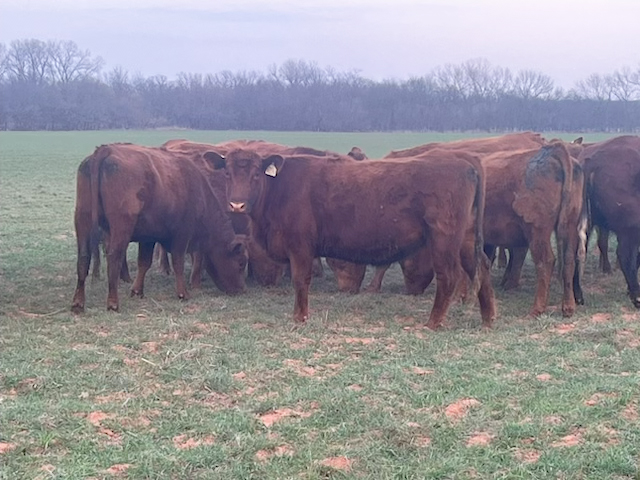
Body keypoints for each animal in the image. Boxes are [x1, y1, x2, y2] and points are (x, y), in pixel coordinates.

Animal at [71, 143, 247, 313]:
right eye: (240, 263)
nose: (241, 290)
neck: (198, 192)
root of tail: (106, 150)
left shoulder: (148, 237)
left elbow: (144, 263)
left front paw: (137, 291)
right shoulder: (182, 234)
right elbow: (178, 262)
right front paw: (183, 293)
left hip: (82, 219)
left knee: (83, 257)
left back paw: (78, 303)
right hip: (121, 227)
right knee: (114, 257)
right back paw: (113, 303)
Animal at [209, 148, 496, 329]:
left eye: (256, 174)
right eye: (227, 174)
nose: (237, 205)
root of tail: (463, 159)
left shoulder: (300, 246)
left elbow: (301, 280)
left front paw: (300, 317)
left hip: (444, 238)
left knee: (449, 275)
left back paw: (433, 322)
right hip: (466, 239)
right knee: (481, 266)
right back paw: (488, 319)